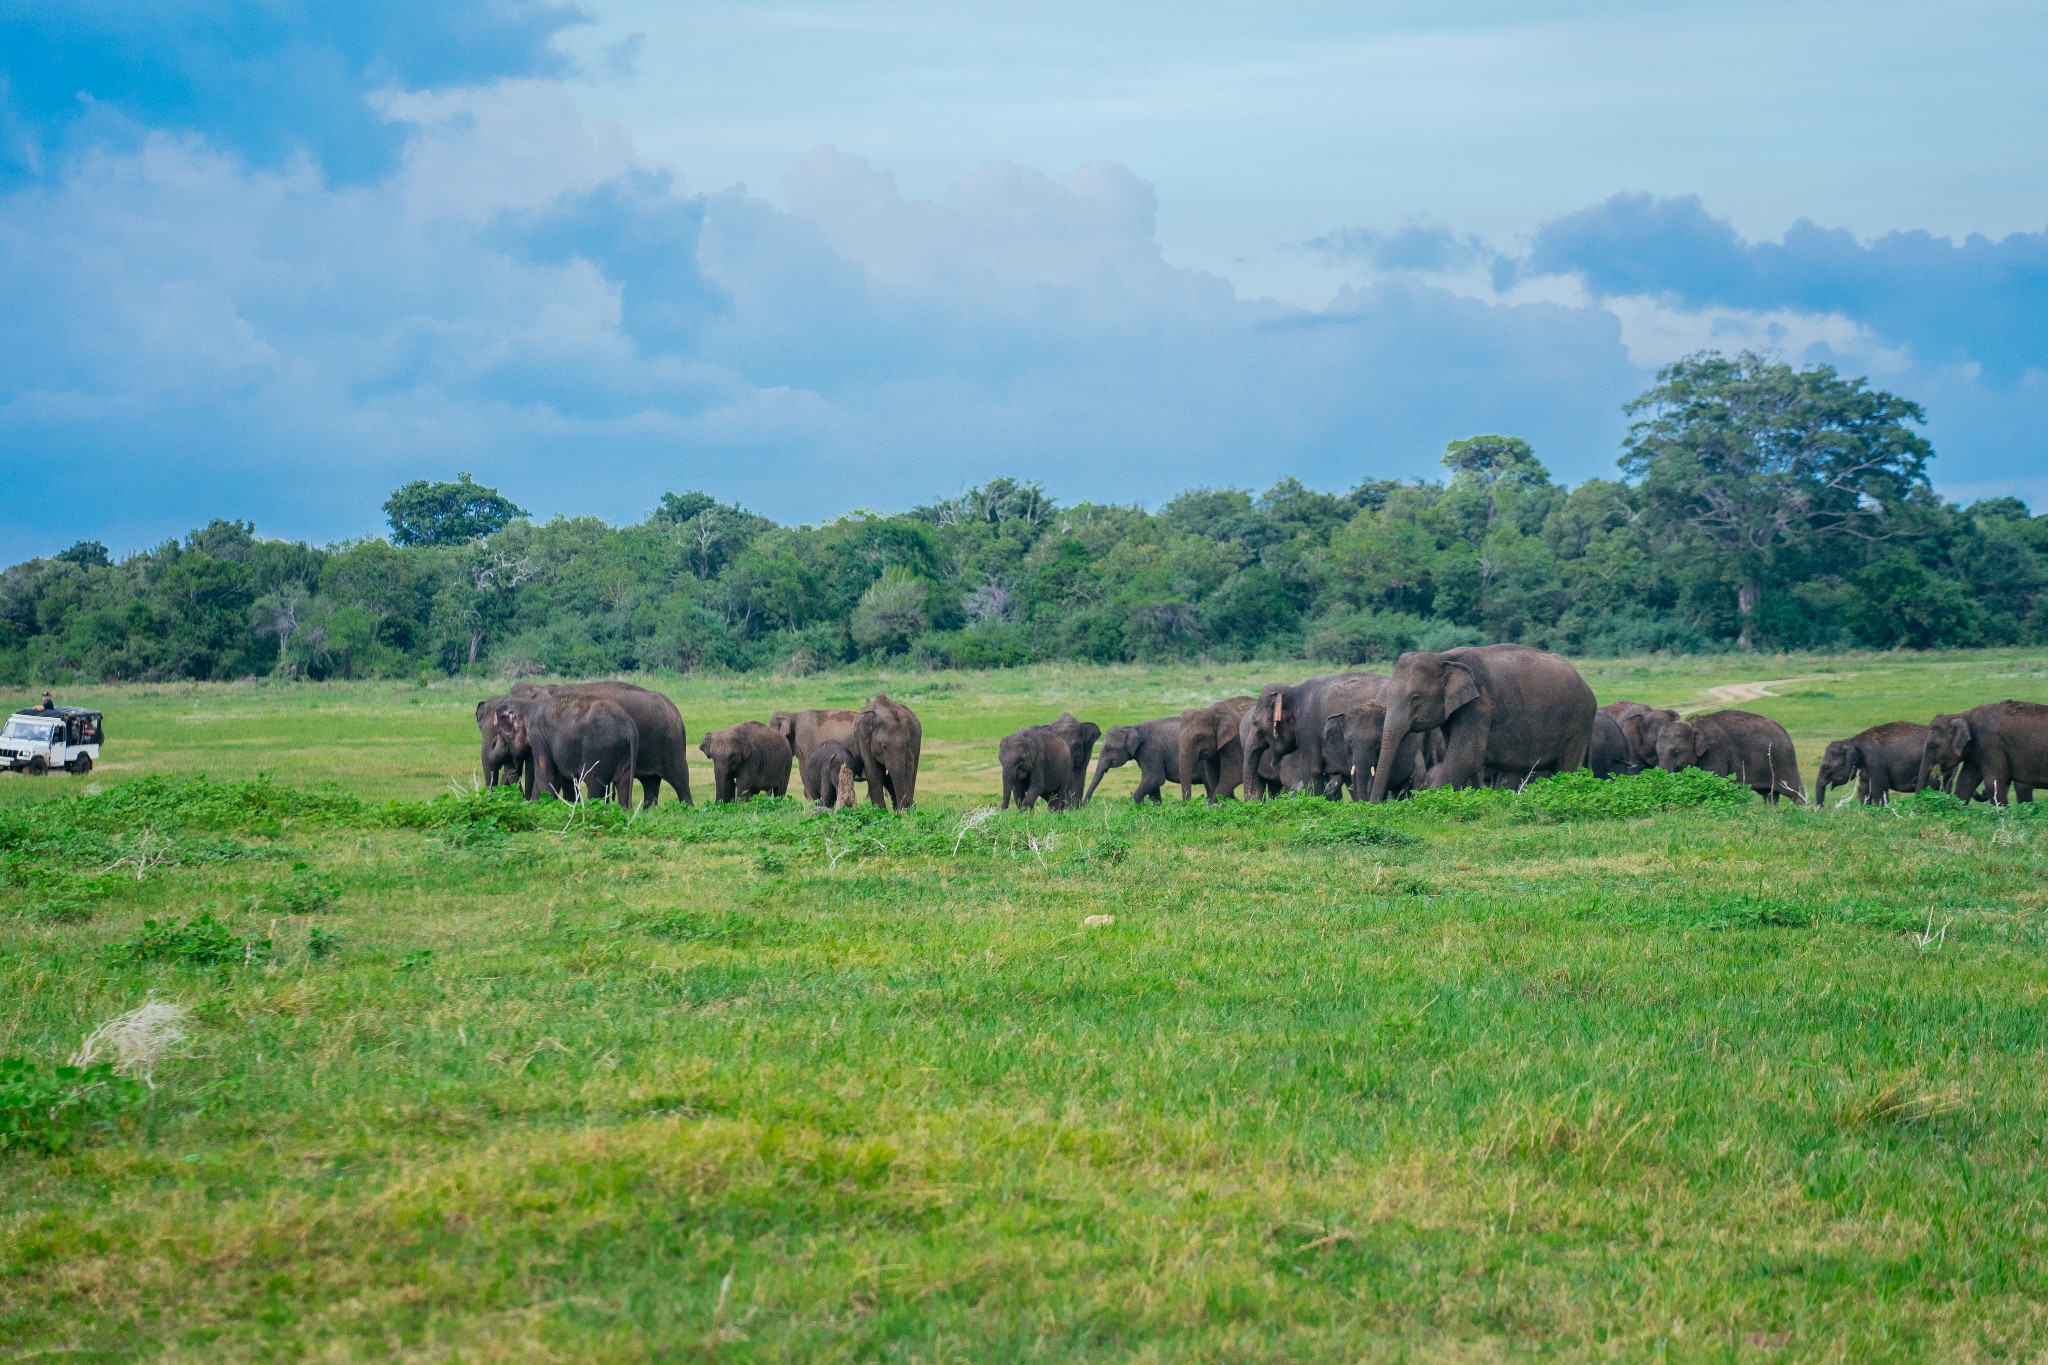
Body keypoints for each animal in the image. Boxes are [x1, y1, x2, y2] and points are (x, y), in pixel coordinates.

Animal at [1376, 642, 1597, 802]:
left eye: (1416, 698)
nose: (1374, 804)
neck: (1443, 657)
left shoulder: (1479, 706)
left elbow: (1465, 757)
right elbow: (1469, 762)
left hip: (1579, 722)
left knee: (1567, 768)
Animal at [1654, 712, 1802, 806]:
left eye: (1676, 752)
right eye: (1657, 752)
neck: (1693, 724)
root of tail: (1784, 731)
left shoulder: (1715, 750)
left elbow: (1715, 780)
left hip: (1784, 760)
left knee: (1794, 792)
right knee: (1769, 794)